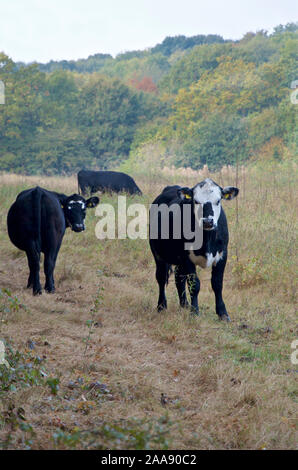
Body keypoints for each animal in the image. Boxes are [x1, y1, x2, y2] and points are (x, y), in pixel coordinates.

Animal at [149, 178, 240, 322]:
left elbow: (217, 283)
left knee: (178, 278)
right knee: (161, 277)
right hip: (157, 254)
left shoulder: (222, 255)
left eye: (218, 200)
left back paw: (184, 304)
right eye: (196, 201)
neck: (206, 239)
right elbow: (194, 285)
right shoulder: (186, 258)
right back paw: (161, 306)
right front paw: (194, 312)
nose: (208, 221)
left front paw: (223, 313)